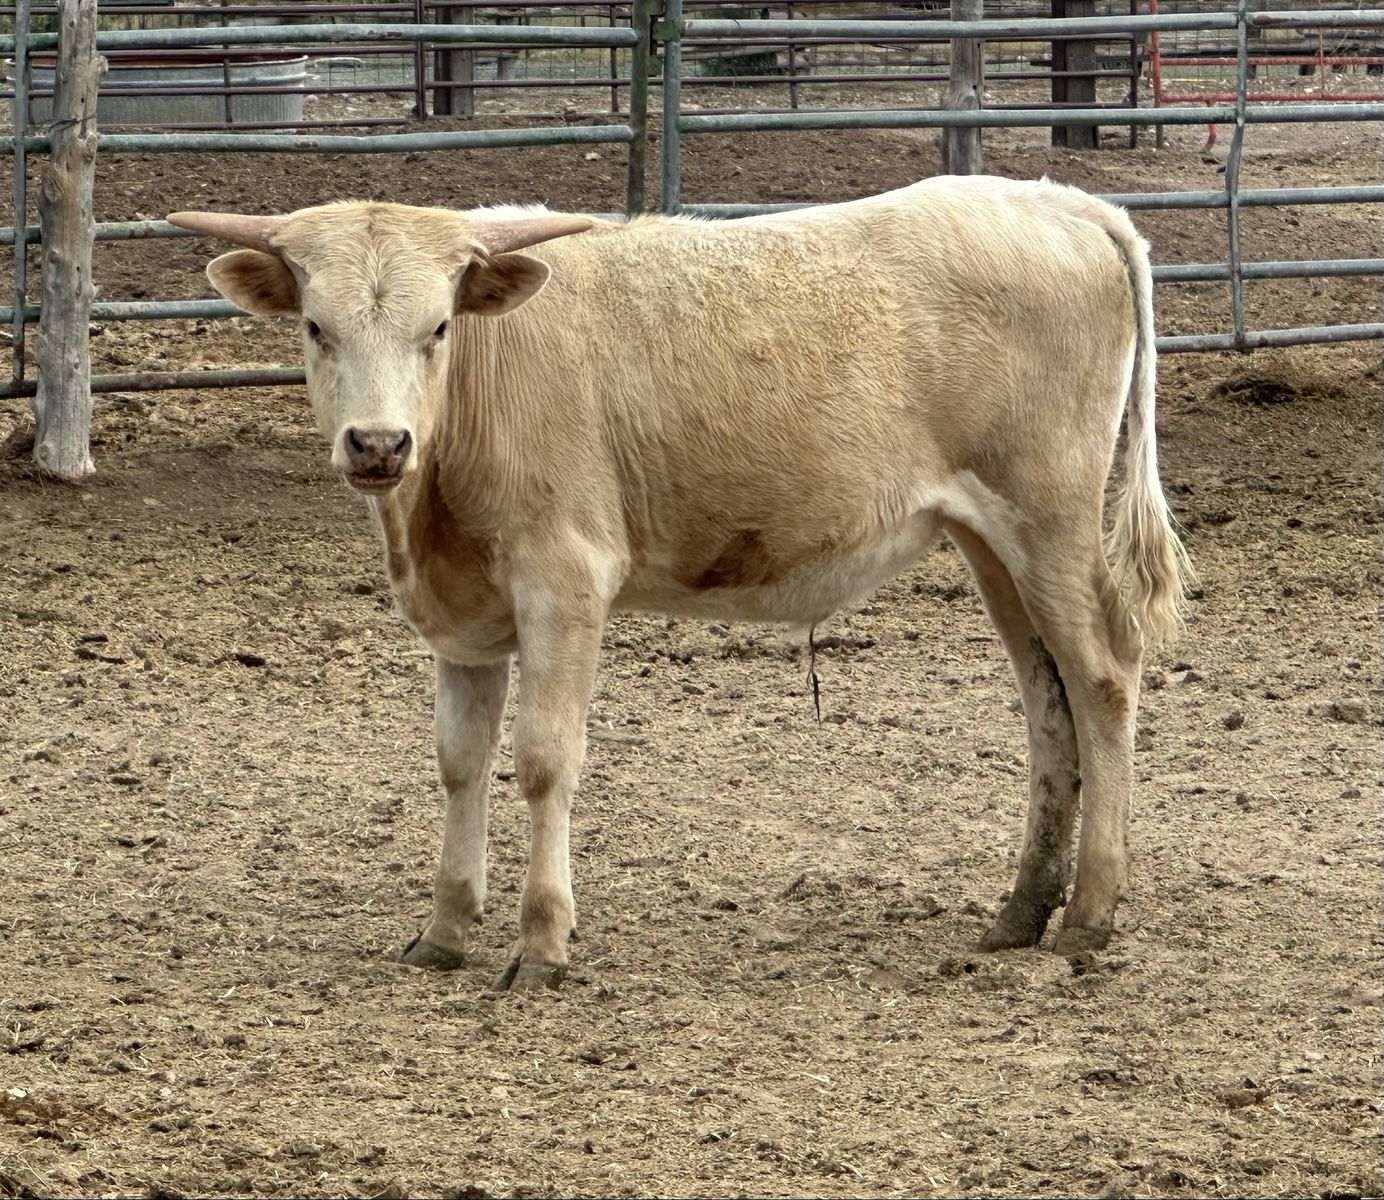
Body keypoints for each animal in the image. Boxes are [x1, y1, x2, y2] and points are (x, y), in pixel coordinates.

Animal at [170, 176, 1191, 991]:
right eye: (316, 327)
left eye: (439, 328)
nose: (379, 444)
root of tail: (1060, 199)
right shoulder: (464, 619)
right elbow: (460, 762)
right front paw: (446, 930)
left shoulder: (565, 582)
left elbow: (544, 760)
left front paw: (542, 945)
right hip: (991, 543)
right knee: (1047, 702)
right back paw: (1021, 911)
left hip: (1049, 519)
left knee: (1103, 679)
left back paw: (1088, 916)